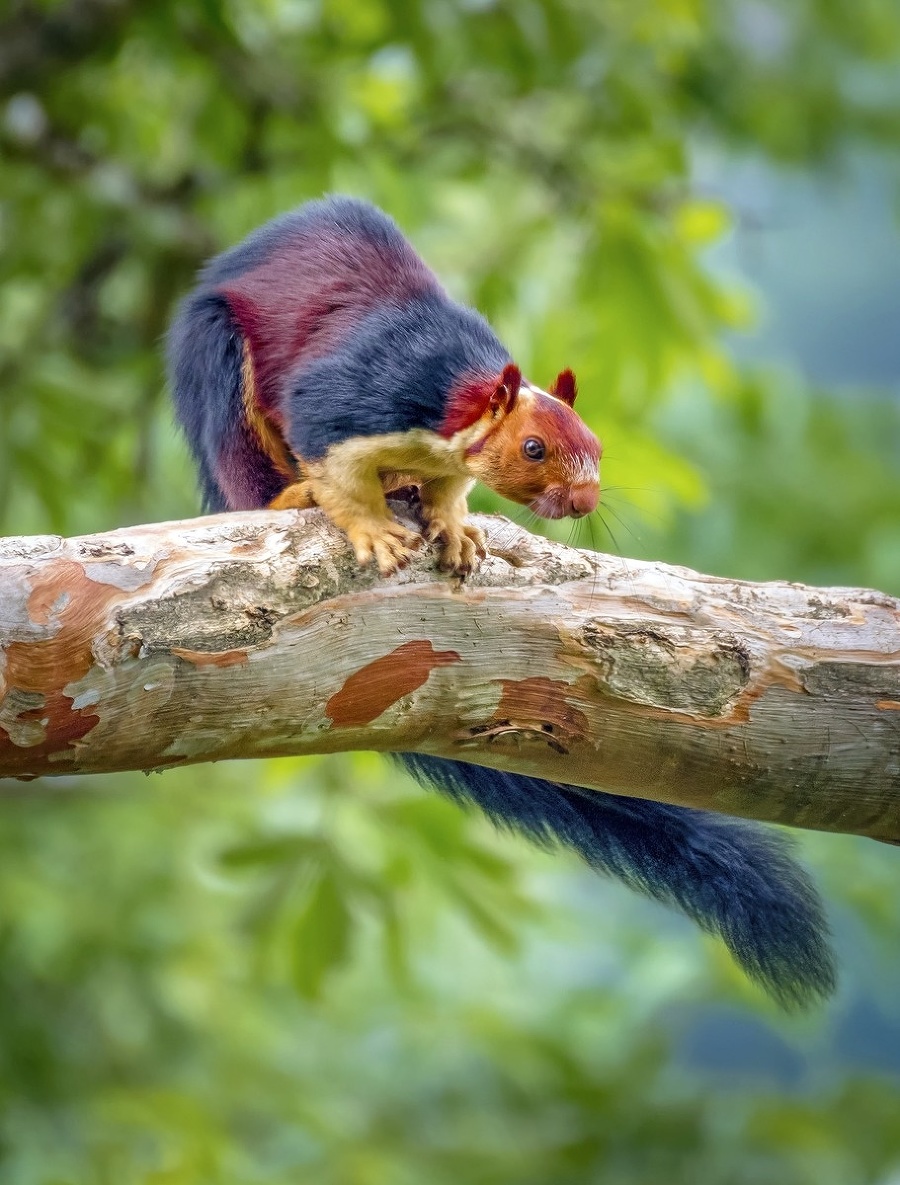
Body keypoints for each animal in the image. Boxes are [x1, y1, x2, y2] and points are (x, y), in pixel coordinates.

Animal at [170, 196, 839, 1009]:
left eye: (598, 447)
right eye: (534, 449)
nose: (584, 500)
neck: (452, 408)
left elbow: (448, 491)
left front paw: (456, 525)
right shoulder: (350, 397)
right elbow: (333, 458)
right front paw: (368, 522)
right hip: (221, 378)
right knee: (254, 465)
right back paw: (289, 497)